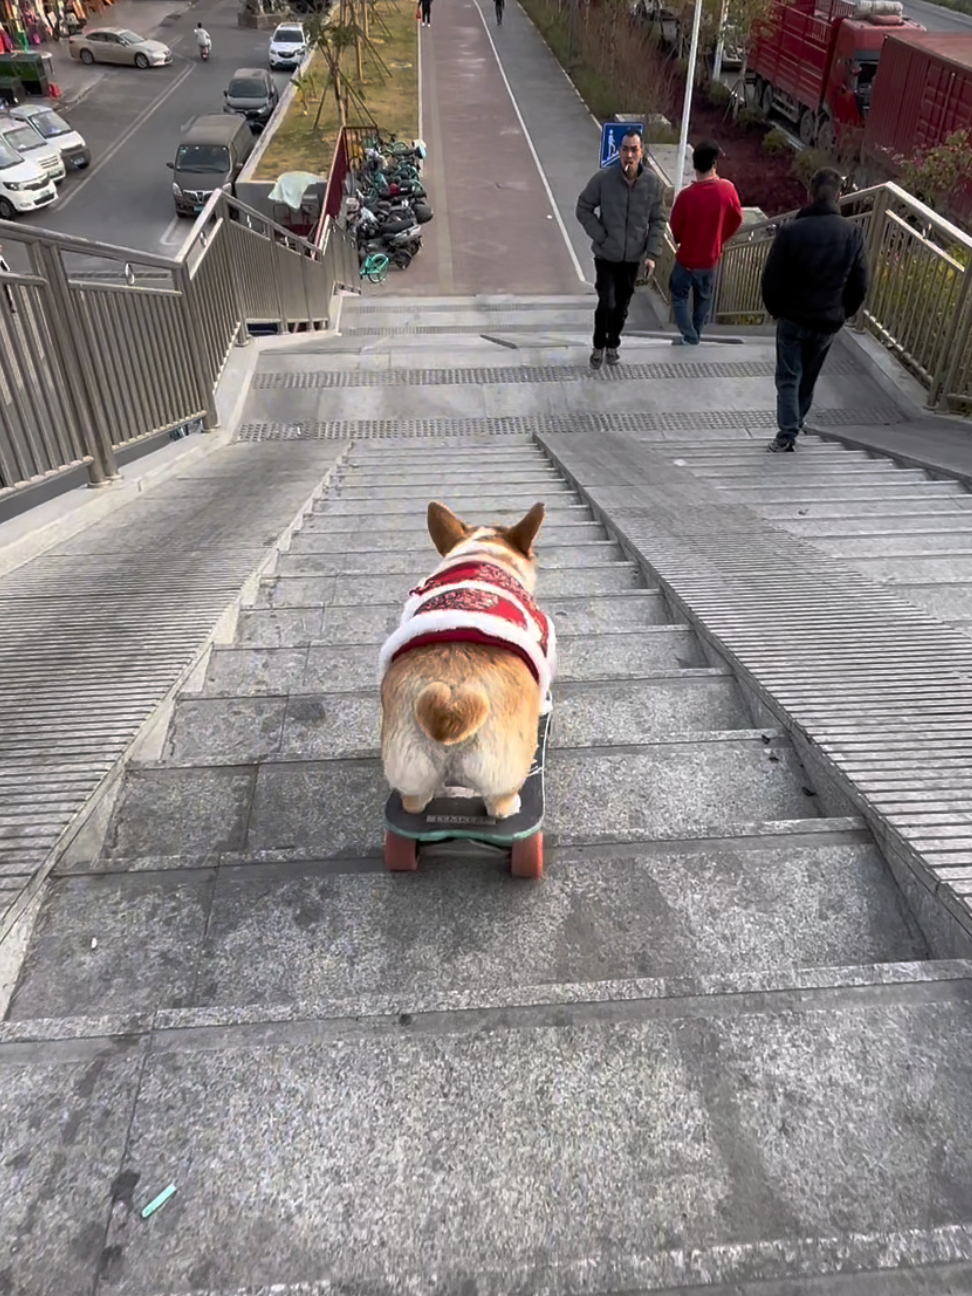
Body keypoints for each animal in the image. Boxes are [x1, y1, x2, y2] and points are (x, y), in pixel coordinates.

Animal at [381, 497, 554, 813]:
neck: (482, 556)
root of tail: (451, 703)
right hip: (502, 776)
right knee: (500, 804)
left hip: (411, 773)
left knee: (414, 803)